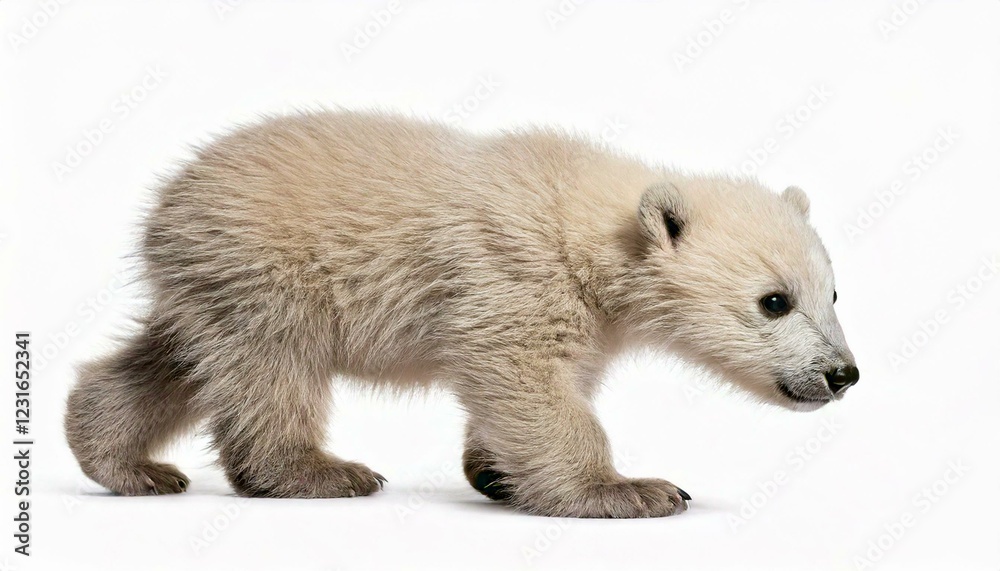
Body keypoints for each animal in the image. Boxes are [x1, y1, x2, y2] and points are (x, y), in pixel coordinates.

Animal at [64, 110, 859, 518]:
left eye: (833, 293)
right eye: (775, 300)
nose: (842, 373)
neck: (591, 227)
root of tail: (168, 201)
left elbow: (535, 382)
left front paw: (497, 473)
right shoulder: (517, 271)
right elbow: (521, 373)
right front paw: (632, 489)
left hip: (212, 282)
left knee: (175, 359)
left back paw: (126, 462)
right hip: (268, 270)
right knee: (271, 370)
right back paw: (319, 472)